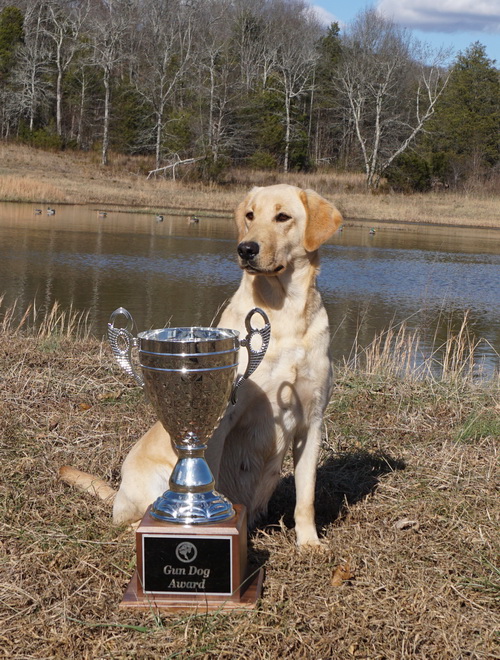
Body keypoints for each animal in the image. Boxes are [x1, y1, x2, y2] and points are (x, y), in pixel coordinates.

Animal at [60, 186, 342, 548]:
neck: (285, 312)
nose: (246, 248)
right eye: (250, 215)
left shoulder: (312, 419)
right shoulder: (224, 418)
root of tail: (117, 492)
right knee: (132, 518)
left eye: (283, 216)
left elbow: (306, 495)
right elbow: (213, 475)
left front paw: (309, 543)